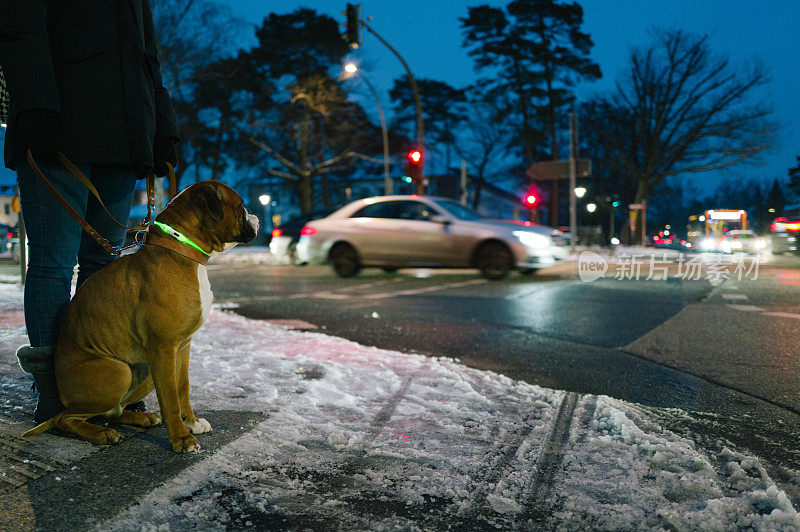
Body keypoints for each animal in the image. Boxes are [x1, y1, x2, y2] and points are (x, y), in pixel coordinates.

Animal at [25, 181, 258, 450]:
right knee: (65, 418)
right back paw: (101, 433)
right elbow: (170, 398)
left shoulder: (182, 348)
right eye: (240, 205)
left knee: (111, 412)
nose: (254, 216)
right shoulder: (164, 348)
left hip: (145, 371)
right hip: (119, 373)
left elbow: (182, 389)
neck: (182, 250)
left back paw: (139, 418)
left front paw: (192, 423)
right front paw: (181, 438)